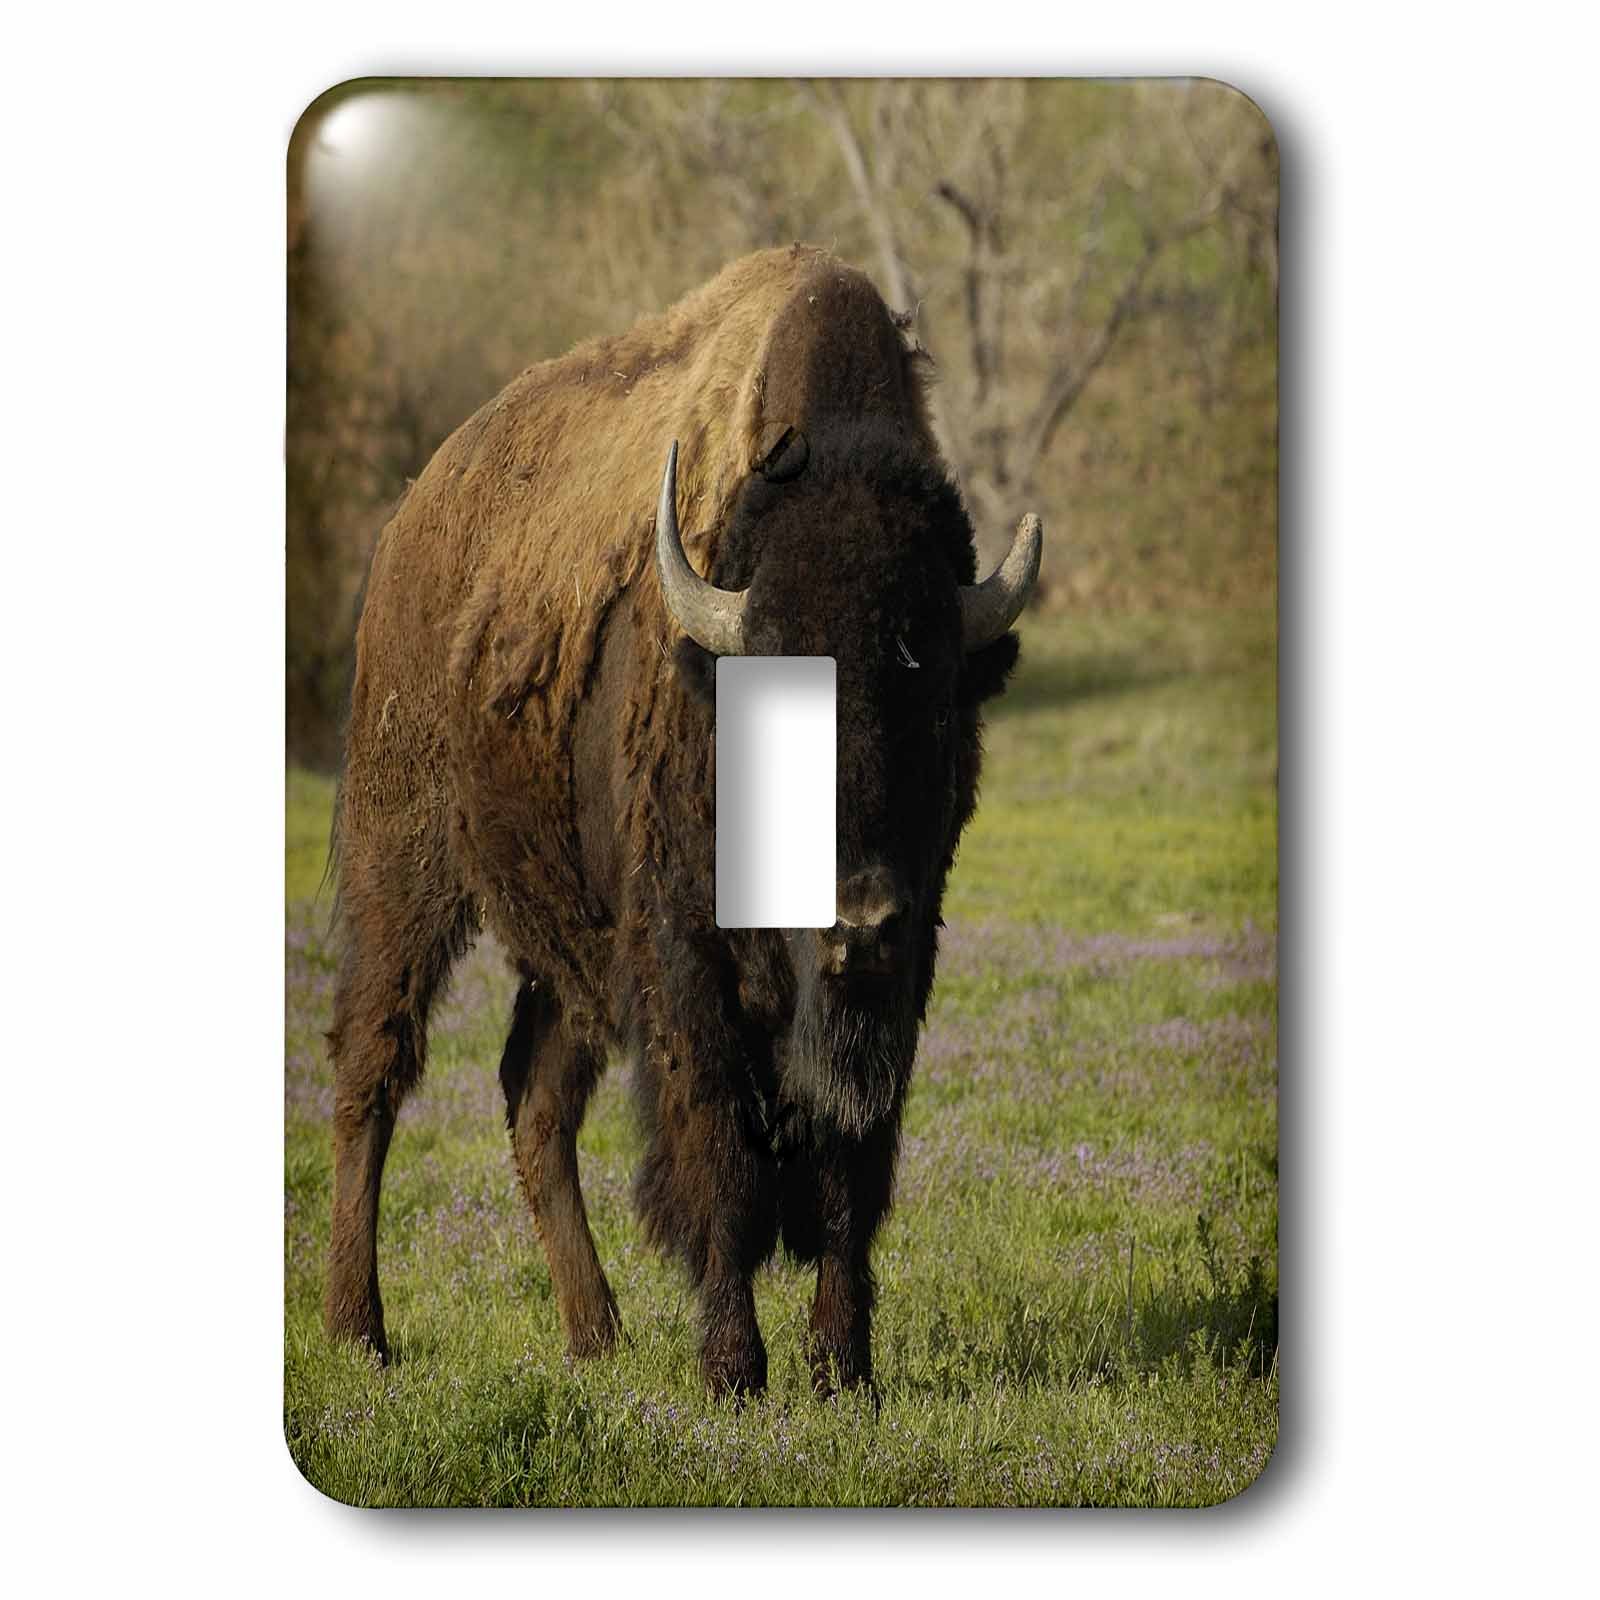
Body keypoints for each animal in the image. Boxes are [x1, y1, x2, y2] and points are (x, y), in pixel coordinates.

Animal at [324, 245, 1042, 1396]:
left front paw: (844, 1373)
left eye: (934, 701)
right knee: (372, 1070)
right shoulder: (681, 962)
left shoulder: (905, 962)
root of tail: (410, 524)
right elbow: (719, 1158)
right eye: (771, 703)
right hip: (405, 868)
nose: (855, 920)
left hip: (569, 947)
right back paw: (361, 1333)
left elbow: (852, 1170)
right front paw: (734, 1373)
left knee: (534, 1098)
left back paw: (596, 1336)